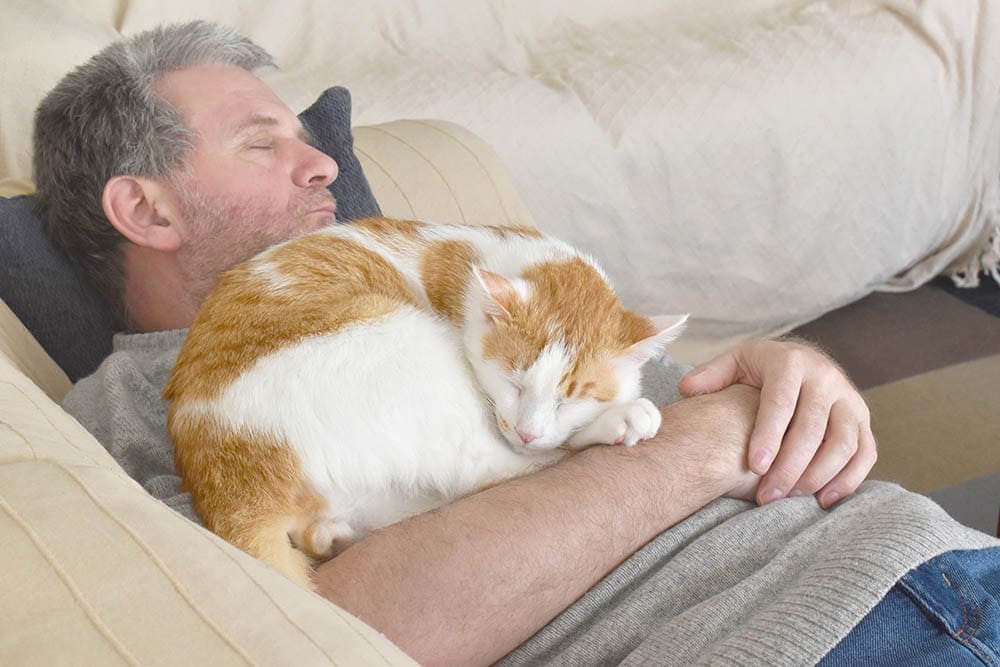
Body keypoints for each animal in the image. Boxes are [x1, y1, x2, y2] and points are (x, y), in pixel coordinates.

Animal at [164, 217, 688, 588]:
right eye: (515, 383)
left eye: (569, 398)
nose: (528, 430)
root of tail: (227, 466)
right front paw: (614, 416)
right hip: (402, 346)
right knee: (485, 470)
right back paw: (616, 424)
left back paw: (333, 534)